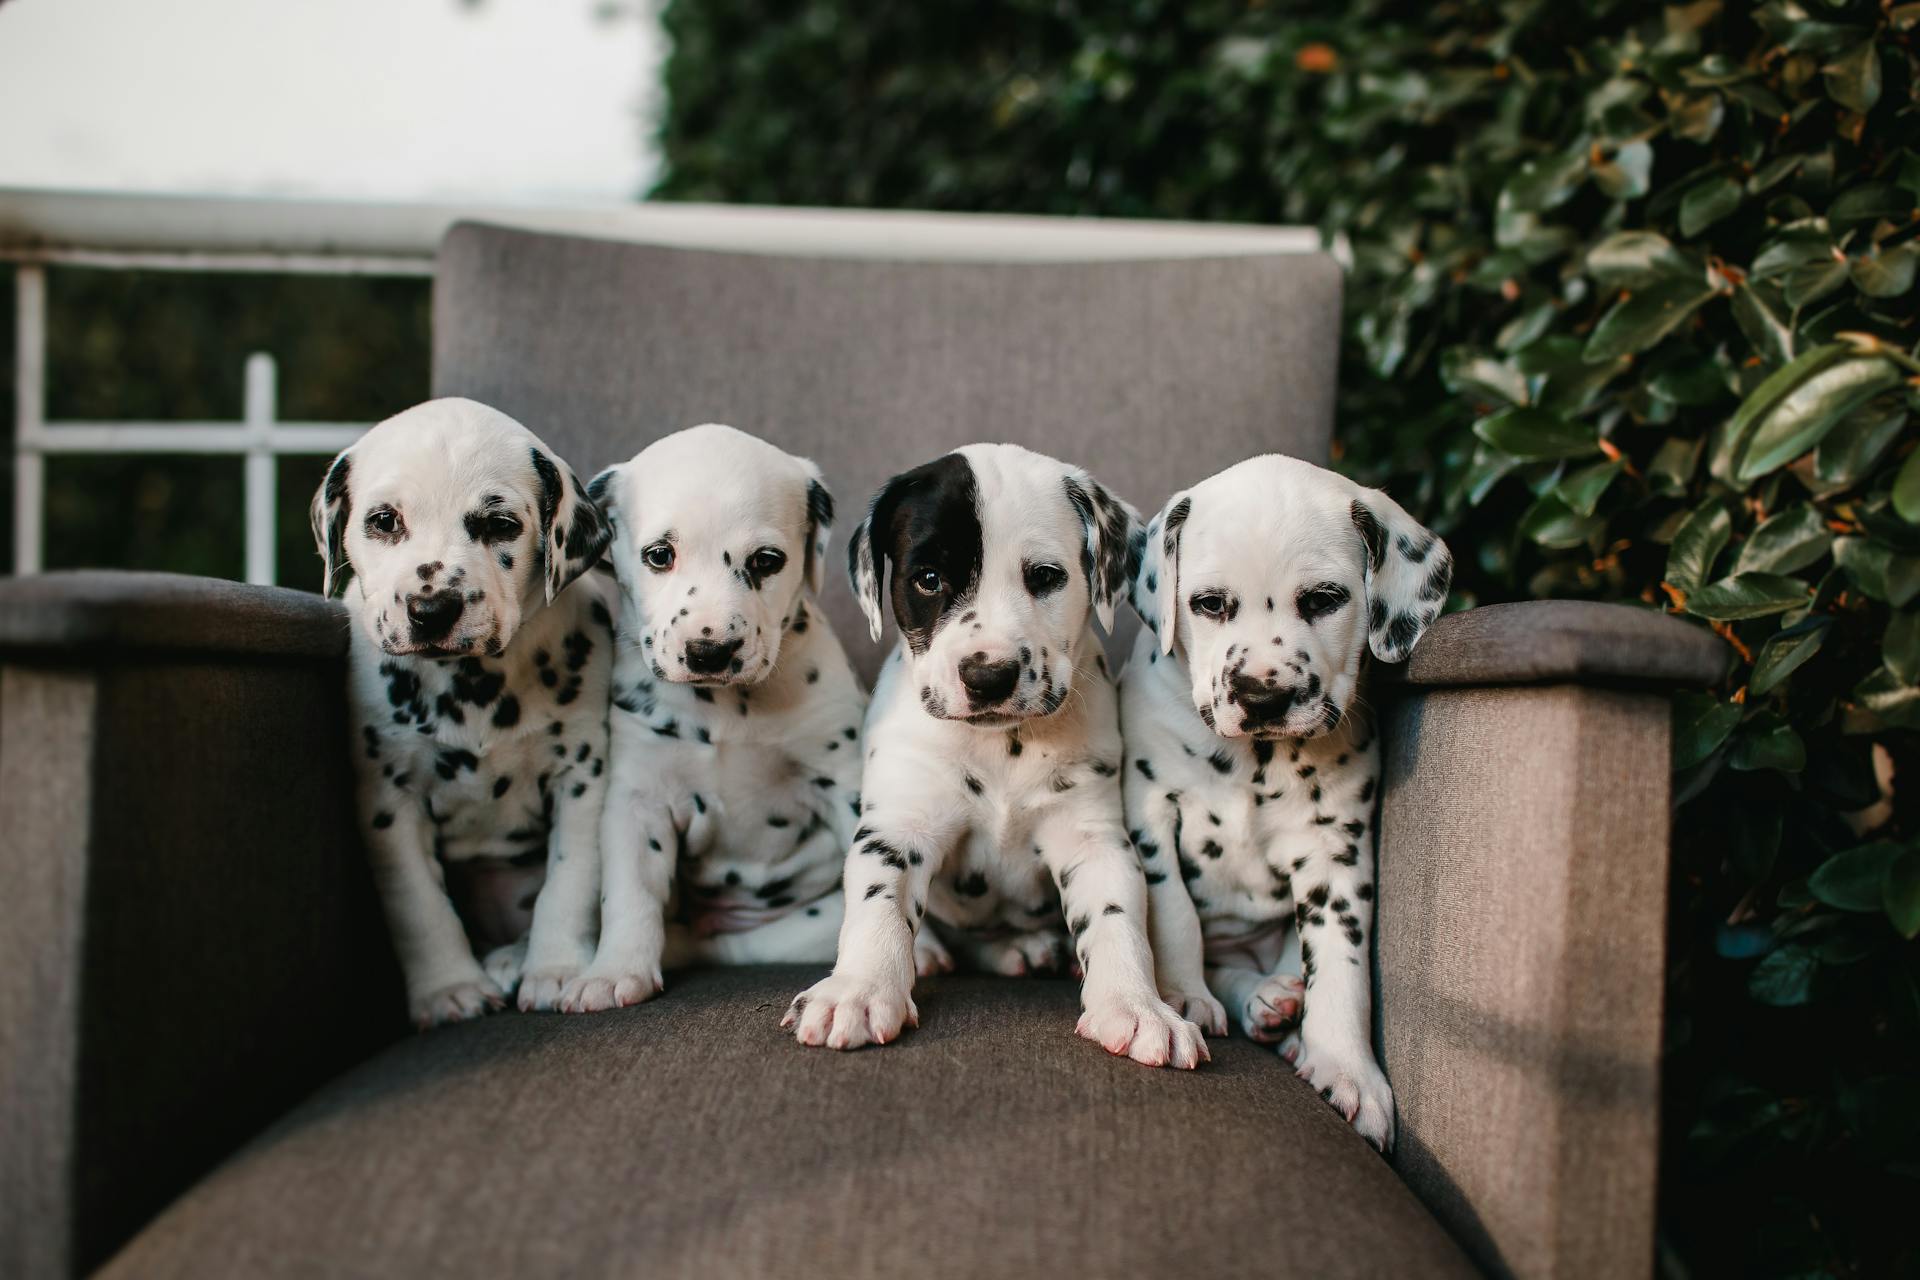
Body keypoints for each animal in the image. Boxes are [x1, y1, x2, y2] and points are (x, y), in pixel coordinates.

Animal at [314, 395, 614, 1028]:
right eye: (384, 520)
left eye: (499, 524)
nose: (431, 609)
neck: (472, 683)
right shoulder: (389, 802)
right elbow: (419, 904)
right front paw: (448, 989)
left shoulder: (582, 778)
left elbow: (570, 880)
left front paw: (555, 969)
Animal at [560, 420, 867, 1013]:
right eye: (660, 555)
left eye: (767, 560)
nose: (711, 651)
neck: (726, 709)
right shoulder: (638, 802)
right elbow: (629, 895)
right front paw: (614, 970)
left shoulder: (843, 783)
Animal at [783, 443, 1205, 1074]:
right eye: (929, 579)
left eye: (1045, 577)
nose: (988, 676)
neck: (1003, 745)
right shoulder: (898, 828)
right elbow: (877, 908)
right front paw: (856, 991)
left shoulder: (1094, 839)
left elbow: (1118, 923)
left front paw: (1137, 1006)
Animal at [1121, 452, 1443, 1151]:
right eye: (1209, 604)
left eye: (1324, 600)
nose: (1262, 695)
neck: (1255, 762)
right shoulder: (1149, 816)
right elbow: (1175, 915)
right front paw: (1182, 997)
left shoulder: (1336, 859)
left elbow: (1342, 969)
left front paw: (1347, 1070)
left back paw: (1279, 1005)